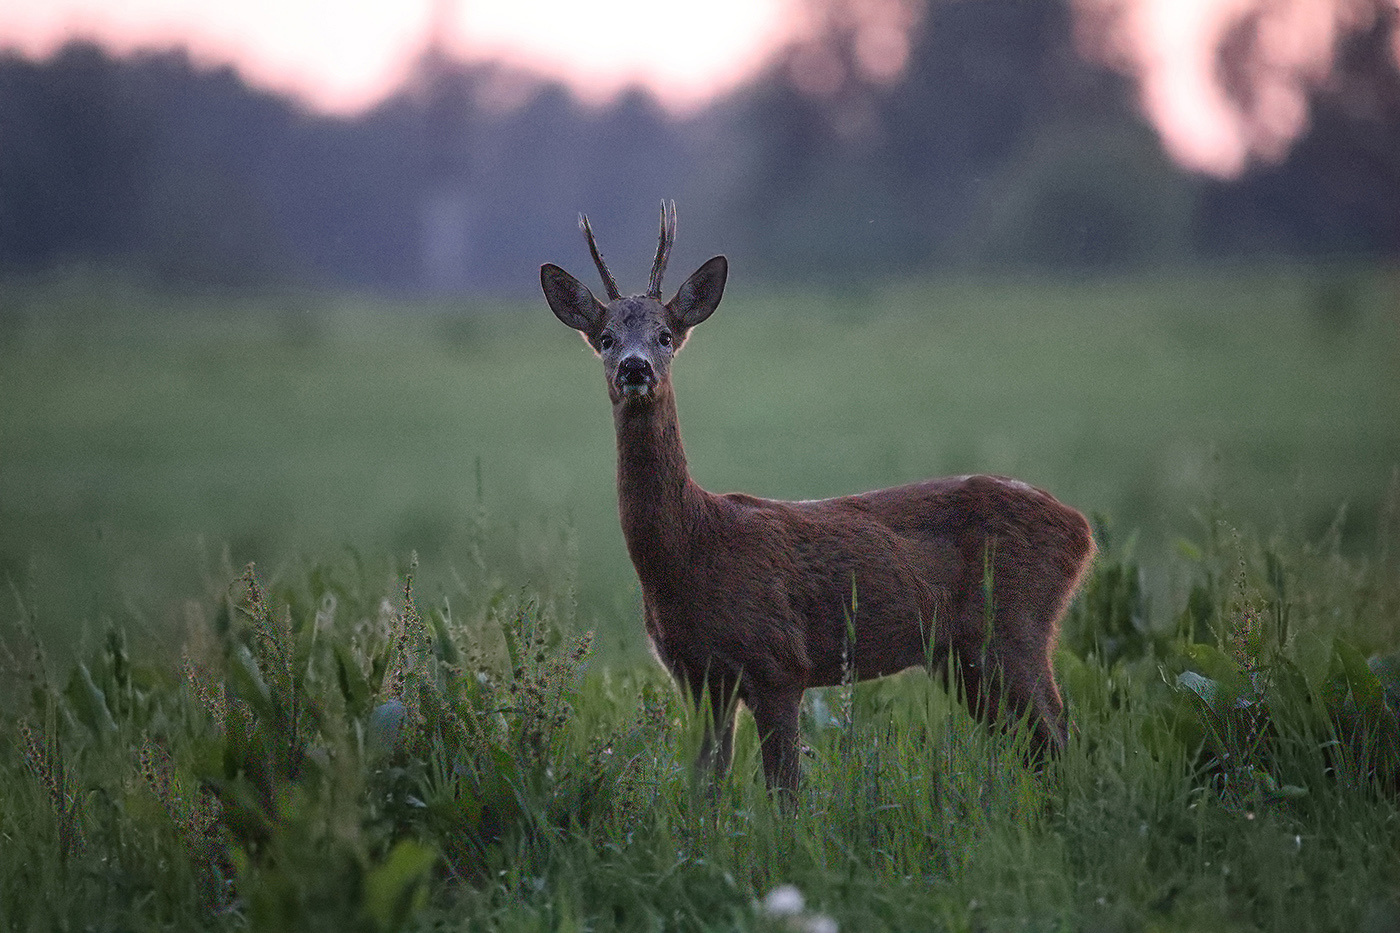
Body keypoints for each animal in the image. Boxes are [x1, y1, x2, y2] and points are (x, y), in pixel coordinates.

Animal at [540, 201, 1096, 801]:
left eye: (665, 335)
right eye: (605, 338)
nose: (635, 367)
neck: (692, 546)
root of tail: (1082, 530)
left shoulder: (779, 660)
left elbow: (785, 791)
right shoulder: (696, 676)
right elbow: (706, 786)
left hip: (1017, 625)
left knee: (1059, 737)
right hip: (961, 656)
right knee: (1037, 747)